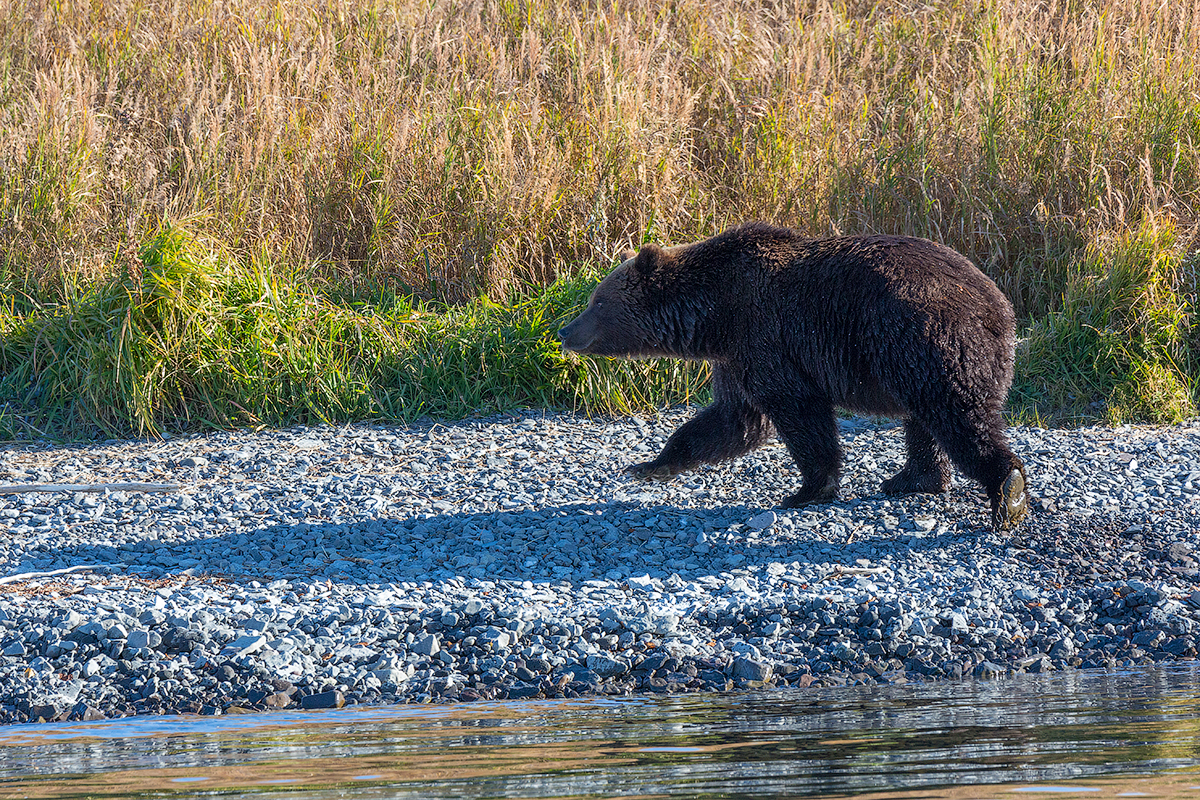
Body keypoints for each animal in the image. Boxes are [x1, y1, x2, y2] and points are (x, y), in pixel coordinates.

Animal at [559, 221, 1032, 532]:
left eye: (598, 301)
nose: (565, 330)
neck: (713, 316)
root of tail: (1000, 308)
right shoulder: (736, 357)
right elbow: (732, 420)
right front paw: (650, 465)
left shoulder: (769, 337)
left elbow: (798, 414)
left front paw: (807, 489)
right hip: (910, 356)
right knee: (924, 420)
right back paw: (912, 479)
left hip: (923, 337)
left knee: (957, 414)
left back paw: (1007, 490)